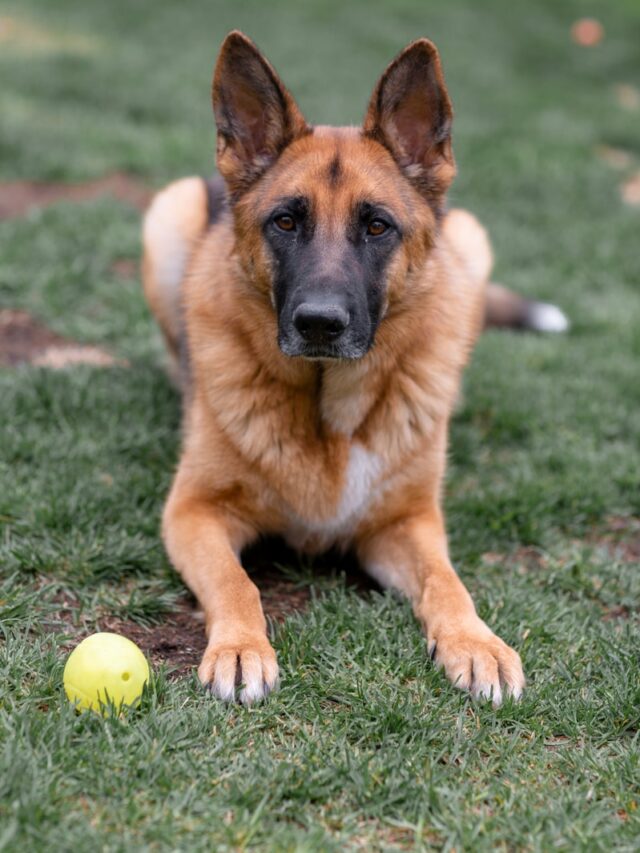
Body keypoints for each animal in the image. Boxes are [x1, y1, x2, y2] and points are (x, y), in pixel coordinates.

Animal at [142, 30, 568, 704]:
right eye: (285, 221)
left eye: (376, 226)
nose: (319, 323)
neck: (329, 411)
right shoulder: (193, 511)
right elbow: (238, 583)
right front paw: (240, 647)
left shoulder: (407, 523)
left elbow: (448, 581)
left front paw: (476, 643)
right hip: (166, 217)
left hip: (471, 243)